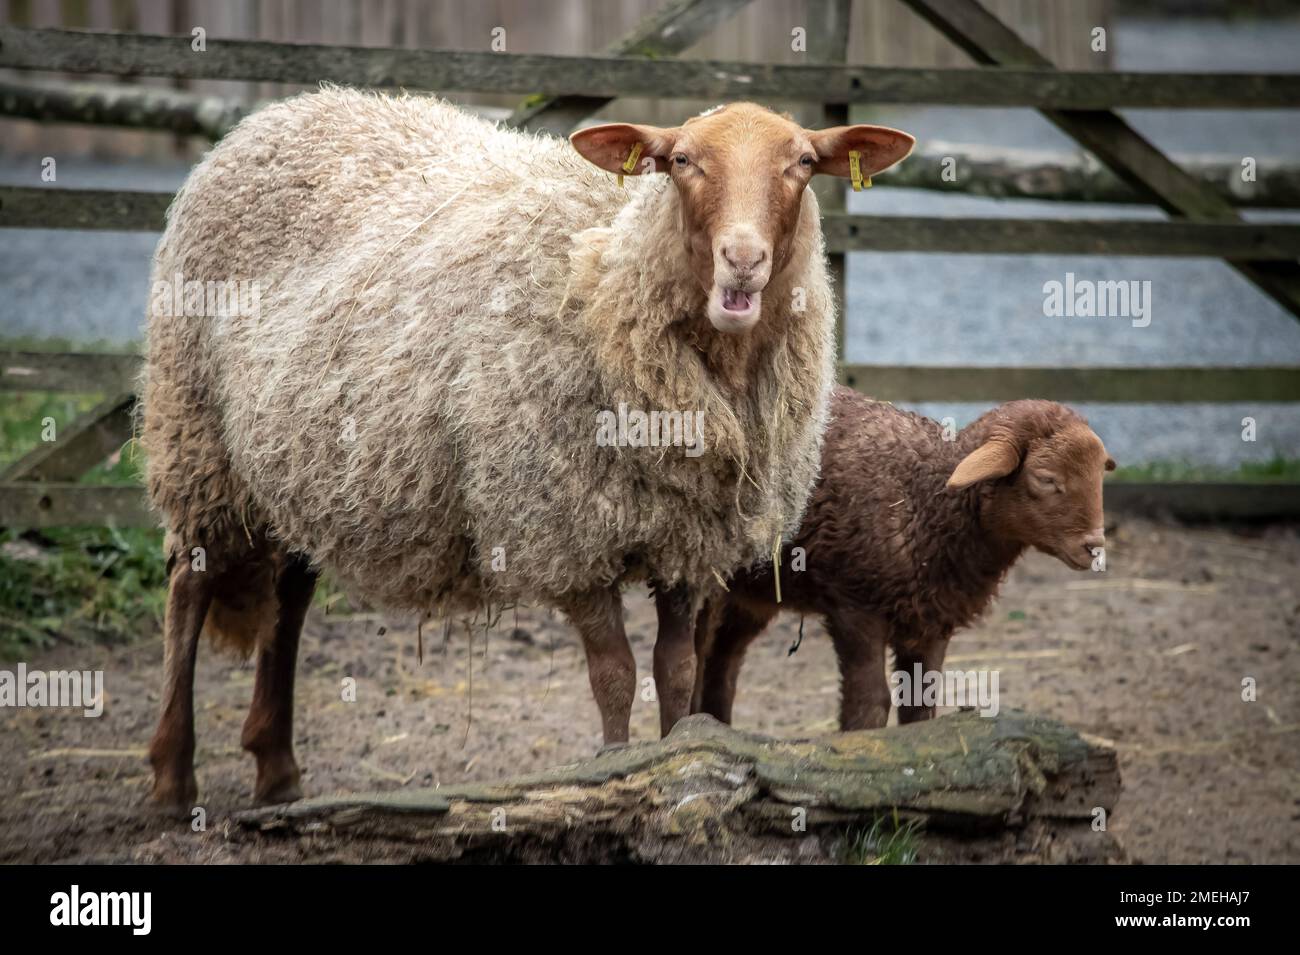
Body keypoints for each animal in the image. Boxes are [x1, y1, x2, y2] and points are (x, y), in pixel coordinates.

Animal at [139, 88, 915, 810]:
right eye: (682, 162)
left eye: (803, 164)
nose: (743, 260)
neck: (606, 272)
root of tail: (277, 113)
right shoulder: (566, 537)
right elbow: (615, 677)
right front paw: (615, 777)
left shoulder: (688, 542)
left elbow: (676, 673)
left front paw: (677, 761)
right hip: (195, 431)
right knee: (190, 587)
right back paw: (173, 778)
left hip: (301, 457)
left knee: (290, 596)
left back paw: (277, 769)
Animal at [692, 385, 1115, 731]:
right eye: (1046, 478)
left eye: (1099, 476)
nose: (1094, 546)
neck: (925, 498)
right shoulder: (856, 607)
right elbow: (869, 705)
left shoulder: (931, 620)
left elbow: (920, 706)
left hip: (753, 595)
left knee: (722, 664)